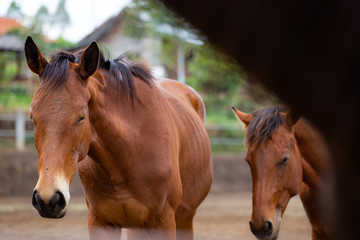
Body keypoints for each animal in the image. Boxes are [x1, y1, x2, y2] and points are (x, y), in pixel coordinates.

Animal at [24, 36, 214, 240]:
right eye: (33, 117)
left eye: (82, 117)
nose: (48, 199)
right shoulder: (100, 222)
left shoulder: (164, 222)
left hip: (185, 218)